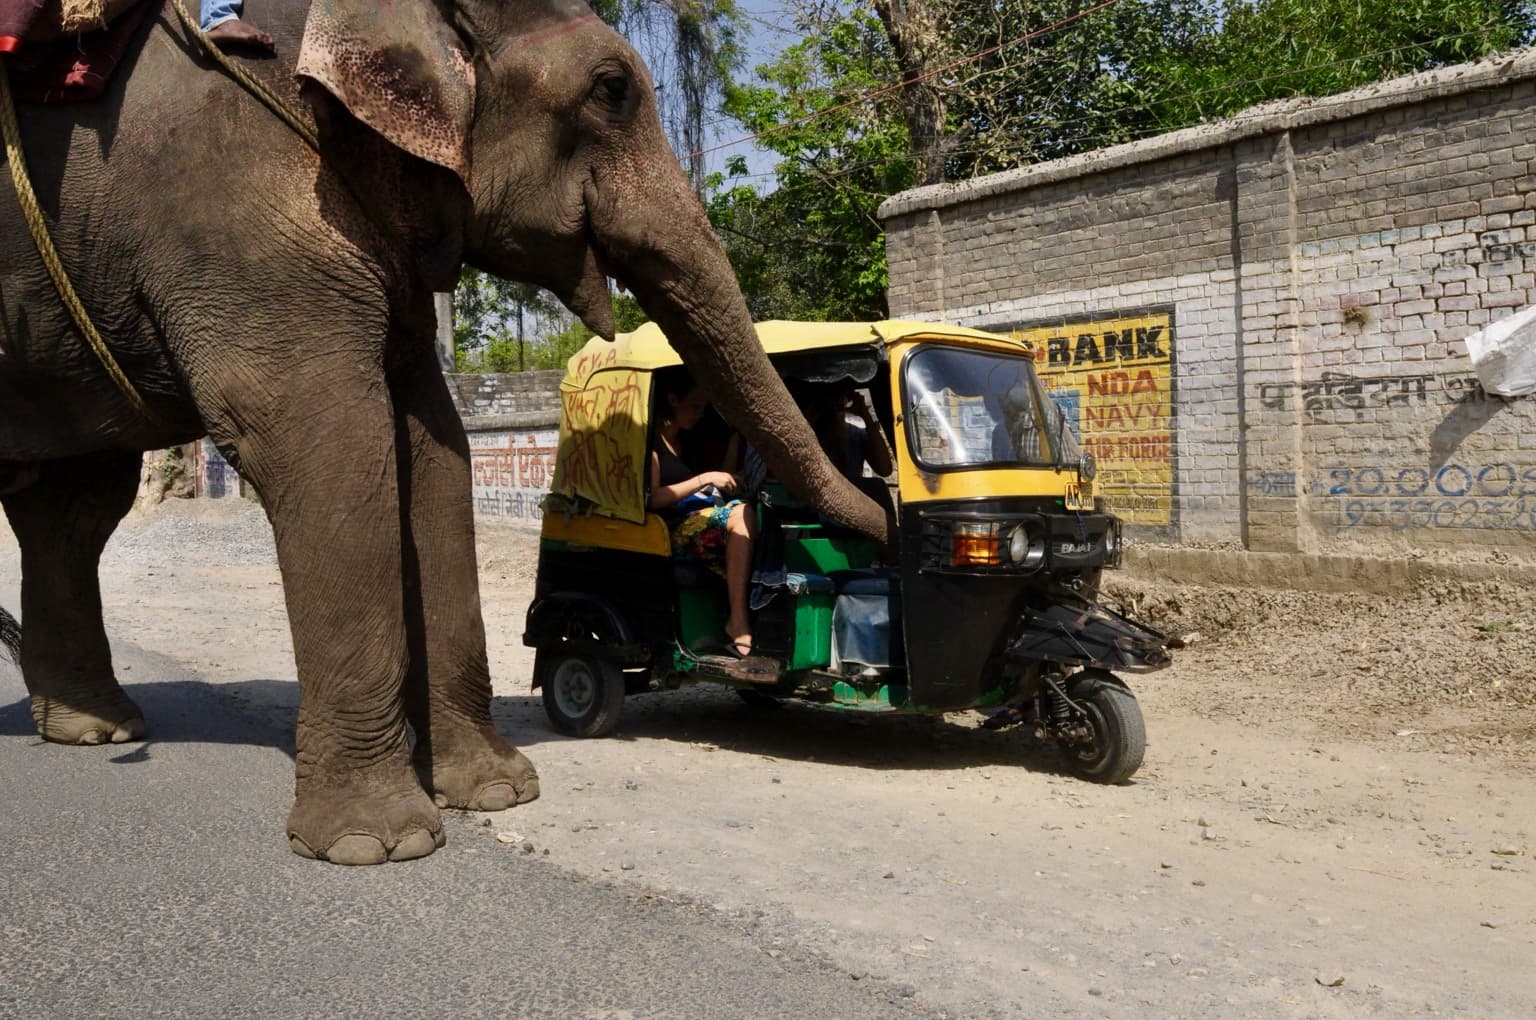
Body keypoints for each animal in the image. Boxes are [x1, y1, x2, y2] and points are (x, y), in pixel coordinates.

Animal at [0, 0, 890, 864]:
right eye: (611, 90)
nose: (892, 514)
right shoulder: (238, 222)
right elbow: (330, 442)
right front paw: (376, 843)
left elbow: (436, 451)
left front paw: (496, 792)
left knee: (76, 508)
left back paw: (96, 728)